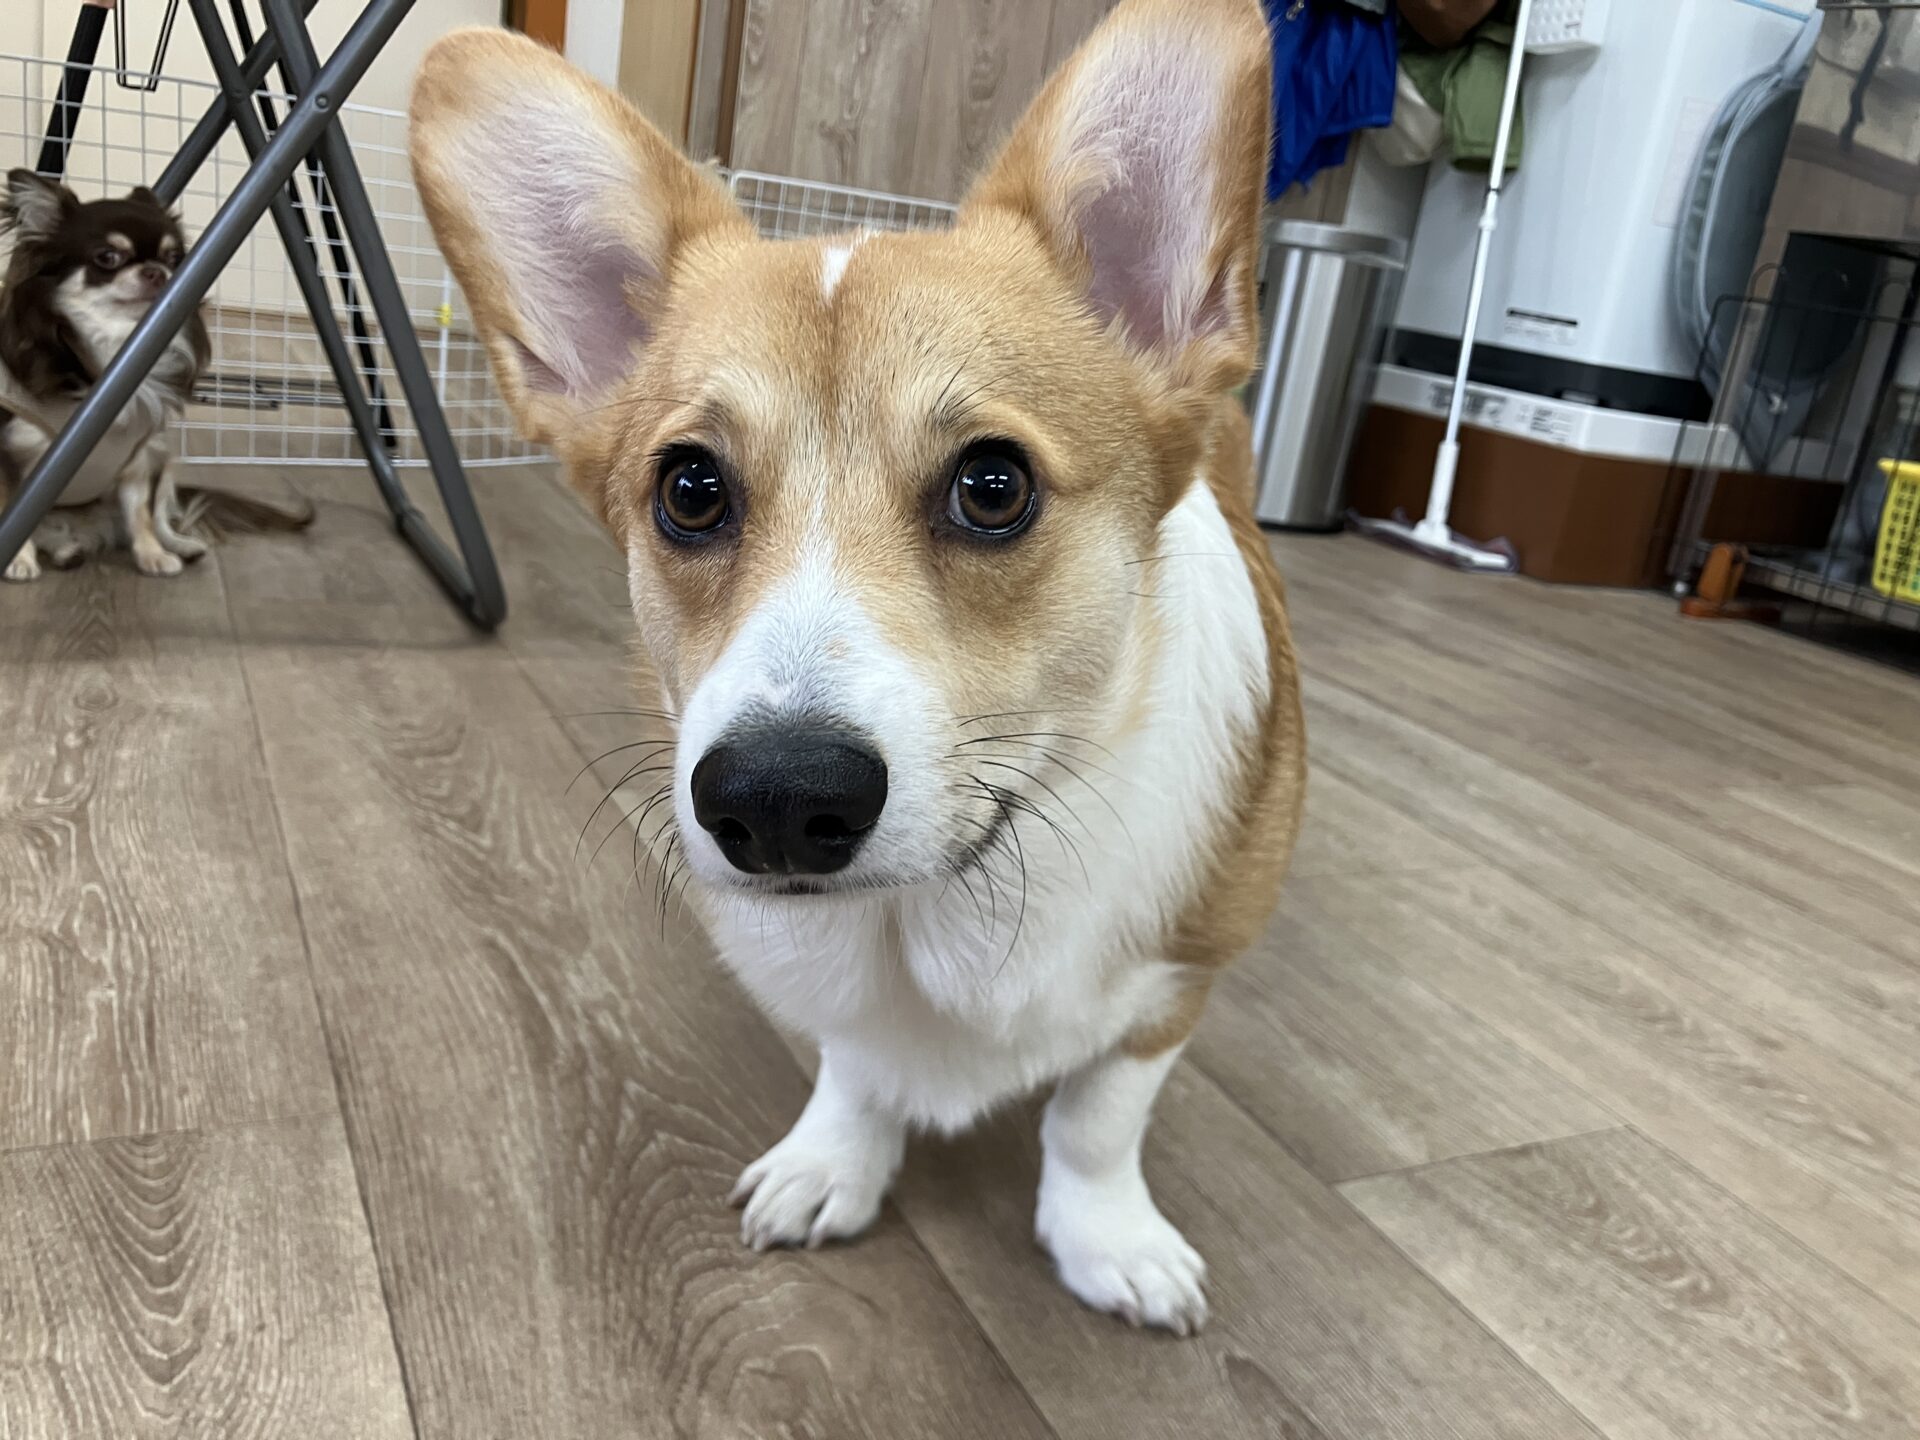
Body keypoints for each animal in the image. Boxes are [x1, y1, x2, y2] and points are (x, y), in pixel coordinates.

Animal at [410, 0, 1303, 1334]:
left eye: (993, 486)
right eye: (690, 490)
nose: (777, 801)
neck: (947, 903)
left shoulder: (1173, 986)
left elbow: (1098, 1118)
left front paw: (1109, 1239)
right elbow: (855, 1066)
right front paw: (835, 1161)